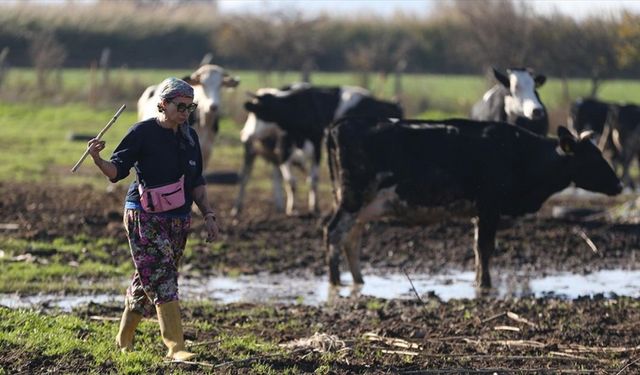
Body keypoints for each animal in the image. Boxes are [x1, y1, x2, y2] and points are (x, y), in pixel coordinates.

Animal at [232, 83, 402, 216]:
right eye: (252, 114)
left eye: (257, 114)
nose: (244, 134)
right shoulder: (284, 148)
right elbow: (291, 181)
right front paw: (292, 209)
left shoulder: (317, 145)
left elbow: (313, 179)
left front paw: (314, 208)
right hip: (253, 151)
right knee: (245, 177)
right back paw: (237, 208)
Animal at [324, 117, 620, 288]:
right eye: (592, 158)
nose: (618, 184)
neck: (522, 153)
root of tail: (338, 125)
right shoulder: (490, 206)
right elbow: (485, 248)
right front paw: (485, 285)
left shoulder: (480, 211)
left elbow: (479, 249)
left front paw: (478, 280)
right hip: (352, 199)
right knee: (334, 233)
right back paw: (336, 280)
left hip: (361, 205)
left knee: (351, 239)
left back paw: (359, 280)